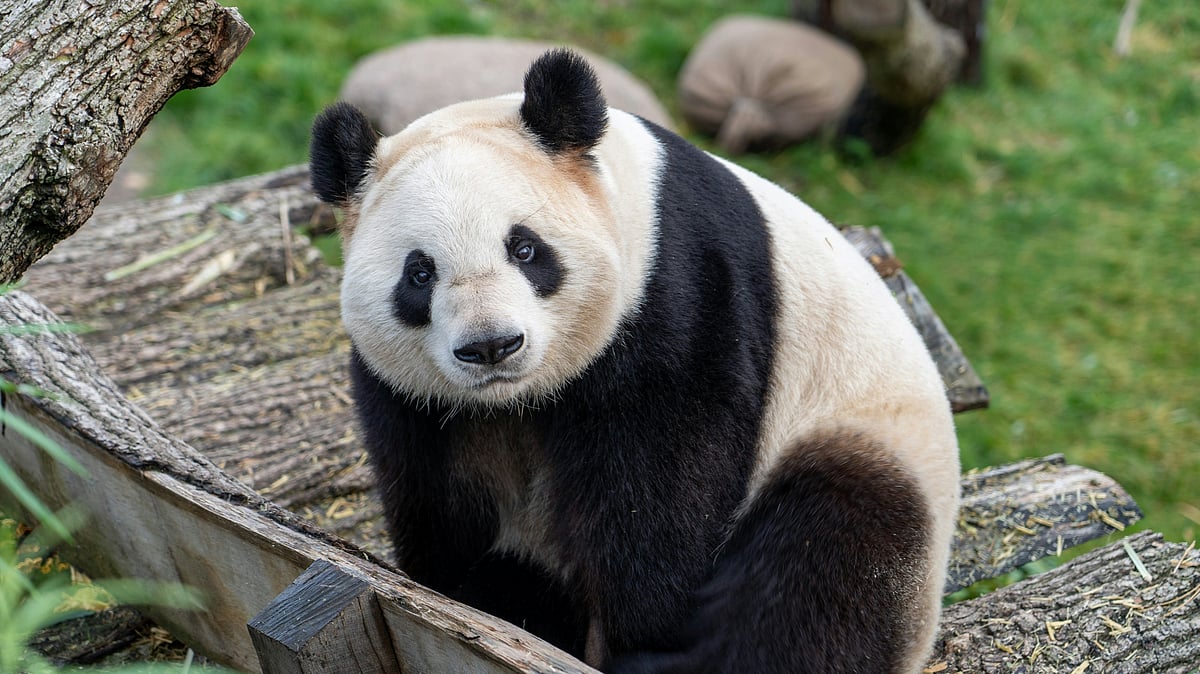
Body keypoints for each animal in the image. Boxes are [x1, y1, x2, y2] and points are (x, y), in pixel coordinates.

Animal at [310, 49, 960, 673]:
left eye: (525, 249)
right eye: (419, 274)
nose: (491, 346)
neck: (517, 399)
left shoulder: (678, 293)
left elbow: (661, 482)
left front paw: (637, 627)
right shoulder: (412, 396)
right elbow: (433, 489)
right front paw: (463, 592)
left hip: (864, 436)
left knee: (825, 562)